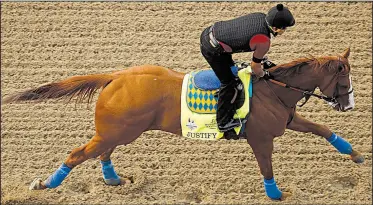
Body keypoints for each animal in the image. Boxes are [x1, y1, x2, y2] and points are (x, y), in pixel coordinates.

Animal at [2, 48, 364, 200]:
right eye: (344, 77)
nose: (348, 104)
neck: (273, 88)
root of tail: (115, 76)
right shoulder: (261, 138)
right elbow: (267, 167)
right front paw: (276, 194)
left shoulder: (288, 119)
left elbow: (323, 130)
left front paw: (356, 154)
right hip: (120, 130)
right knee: (78, 154)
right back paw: (45, 184)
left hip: (120, 131)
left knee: (103, 151)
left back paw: (113, 179)